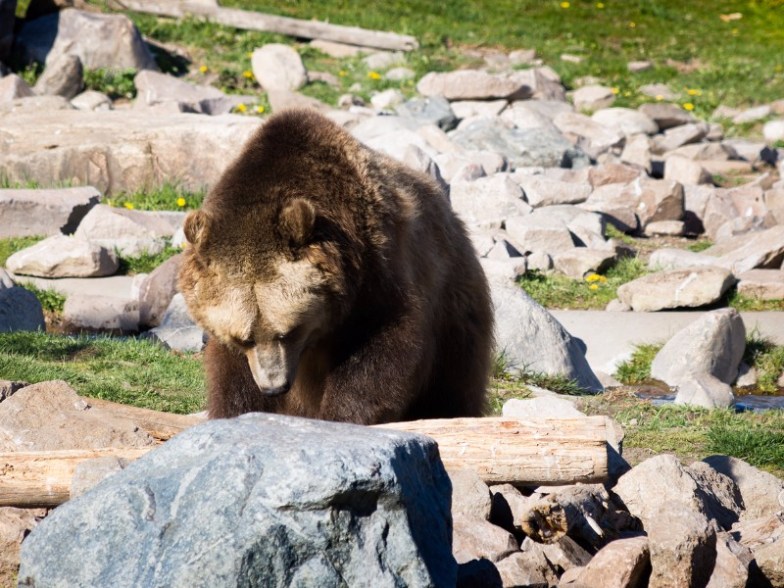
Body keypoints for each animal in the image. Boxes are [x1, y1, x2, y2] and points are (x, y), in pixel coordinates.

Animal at [181, 108, 494, 424]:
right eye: (244, 338)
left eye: (288, 331)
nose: (274, 387)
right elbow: (233, 375)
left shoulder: (378, 272)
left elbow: (382, 349)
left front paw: (341, 416)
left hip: (452, 306)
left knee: (452, 380)